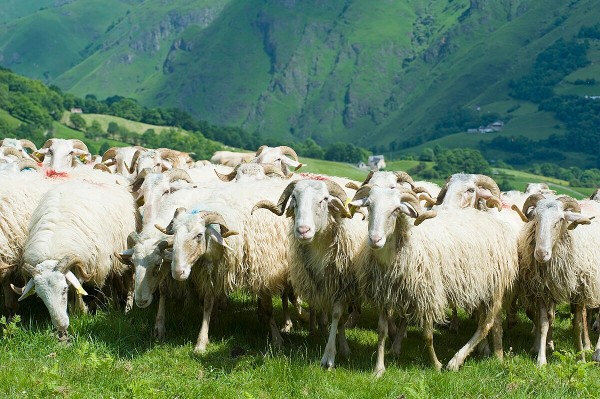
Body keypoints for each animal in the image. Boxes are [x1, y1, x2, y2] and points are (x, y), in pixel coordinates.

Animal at [14, 180, 138, 340]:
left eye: (64, 290)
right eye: (41, 296)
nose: (61, 326)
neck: (51, 250)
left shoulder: (84, 264)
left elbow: (77, 287)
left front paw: (81, 311)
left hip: (121, 253)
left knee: (127, 278)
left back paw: (125, 307)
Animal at [251, 180, 364, 370]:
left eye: (324, 199)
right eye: (294, 198)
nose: (303, 230)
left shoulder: (343, 287)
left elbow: (337, 317)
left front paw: (331, 355)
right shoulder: (317, 284)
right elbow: (321, 311)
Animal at [350, 186, 516, 374]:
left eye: (396, 210)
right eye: (369, 206)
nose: (375, 239)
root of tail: (491, 219)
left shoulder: (428, 295)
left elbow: (428, 336)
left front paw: (436, 364)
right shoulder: (386, 295)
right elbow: (382, 332)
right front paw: (379, 369)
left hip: (494, 286)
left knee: (486, 324)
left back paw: (457, 361)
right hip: (481, 288)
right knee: (491, 323)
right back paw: (491, 352)